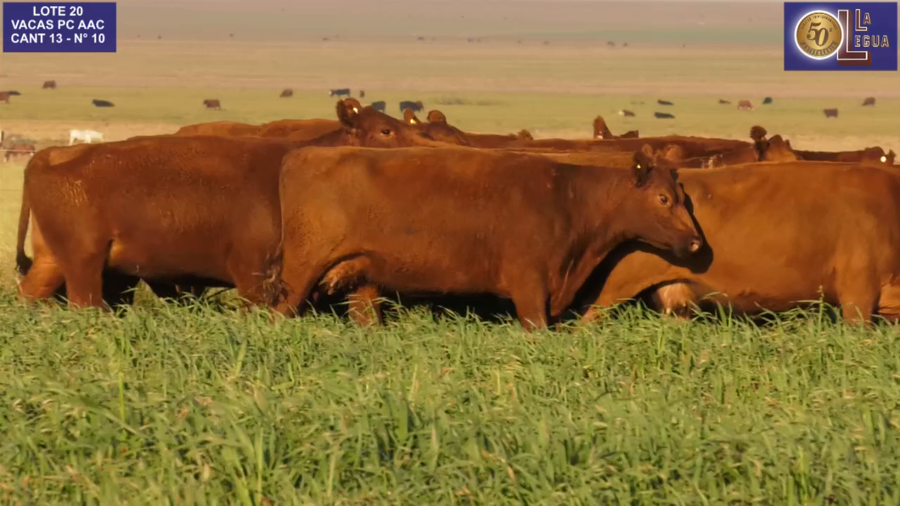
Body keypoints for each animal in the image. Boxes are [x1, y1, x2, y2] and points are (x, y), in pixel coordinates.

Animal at [15, 98, 446, 309]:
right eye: (386, 130)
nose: (432, 150)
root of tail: (52, 154)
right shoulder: (255, 275)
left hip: (55, 262)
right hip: (84, 264)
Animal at [265, 145, 703, 330]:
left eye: (684, 197)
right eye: (663, 198)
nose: (697, 242)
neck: (569, 199)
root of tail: (299, 155)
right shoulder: (529, 287)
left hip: (361, 276)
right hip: (301, 272)